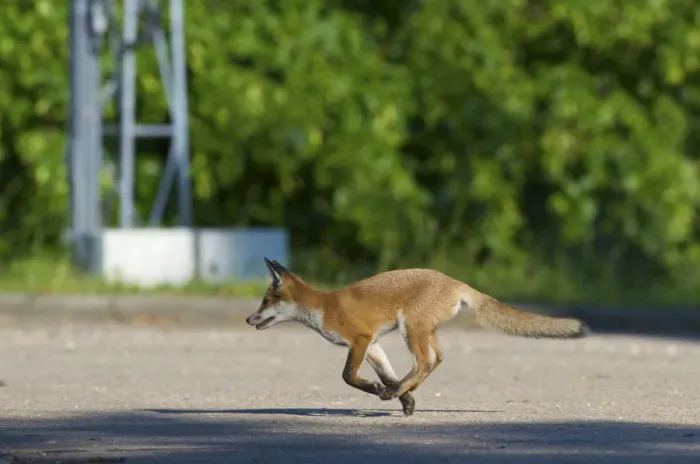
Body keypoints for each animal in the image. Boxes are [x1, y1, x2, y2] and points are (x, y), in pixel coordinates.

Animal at [245, 257, 590, 416]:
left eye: (264, 302)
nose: (248, 319)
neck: (324, 307)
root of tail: (455, 281)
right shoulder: (373, 345)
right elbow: (385, 373)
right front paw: (404, 398)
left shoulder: (360, 338)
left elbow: (348, 377)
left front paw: (381, 391)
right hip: (422, 331)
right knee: (435, 360)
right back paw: (401, 392)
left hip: (410, 328)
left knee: (425, 362)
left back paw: (395, 392)